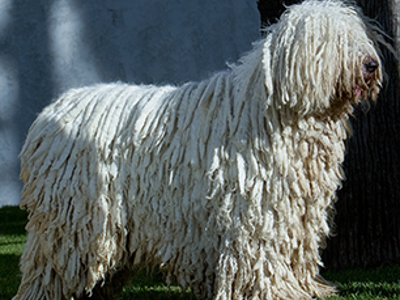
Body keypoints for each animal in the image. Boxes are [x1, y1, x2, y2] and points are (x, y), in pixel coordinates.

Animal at [15, 1, 382, 298]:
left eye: (359, 36)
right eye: (336, 39)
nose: (371, 64)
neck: (274, 109)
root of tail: (52, 112)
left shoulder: (296, 212)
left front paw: (306, 288)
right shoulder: (254, 211)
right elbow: (259, 255)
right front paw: (273, 292)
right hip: (76, 220)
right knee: (52, 269)